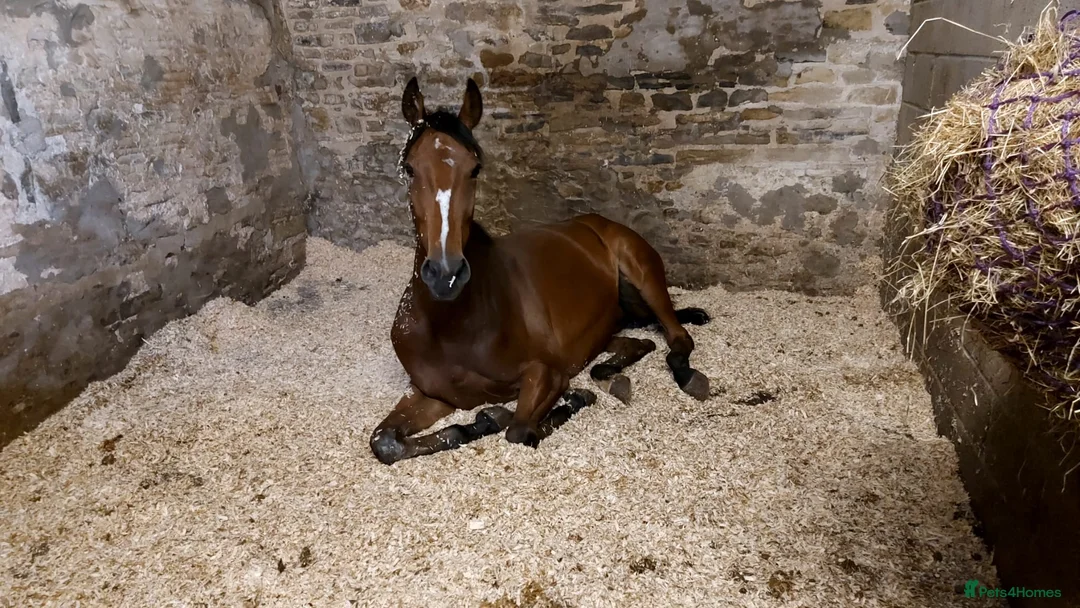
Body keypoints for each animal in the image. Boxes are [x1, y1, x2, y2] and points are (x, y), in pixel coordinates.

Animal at [369, 76, 712, 465]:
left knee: (677, 337)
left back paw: (686, 375)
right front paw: (477, 423)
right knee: (636, 343)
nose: (446, 274)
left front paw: (567, 400)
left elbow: (520, 430)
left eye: (475, 168)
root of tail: (598, 224)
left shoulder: (547, 374)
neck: (454, 324)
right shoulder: (431, 393)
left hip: (644, 277)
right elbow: (385, 441)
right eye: (409, 168)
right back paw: (612, 375)